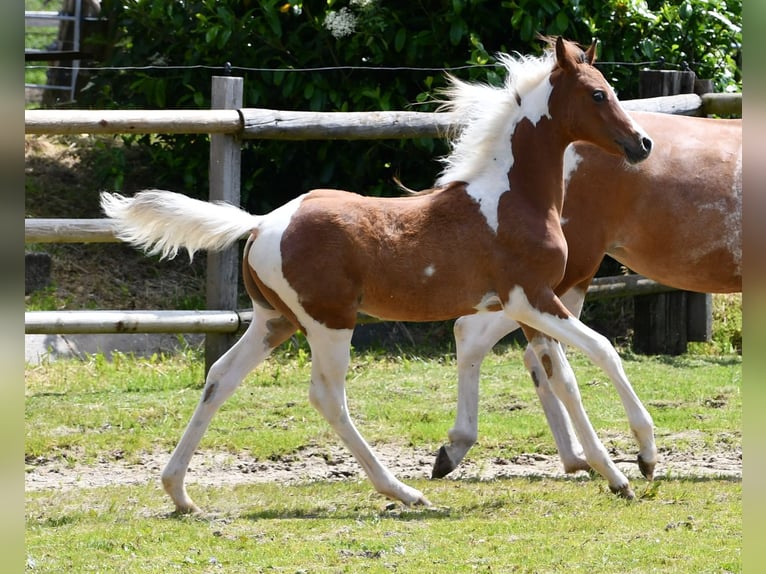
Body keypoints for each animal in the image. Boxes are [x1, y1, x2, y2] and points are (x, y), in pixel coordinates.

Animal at [100, 38, 656, 516]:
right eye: (598, 93)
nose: (643, 143)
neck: (513, 197)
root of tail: (259, 224)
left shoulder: (528, 308)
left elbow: (562, 379)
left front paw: (613, 475)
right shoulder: (532, 298)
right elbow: (603, 351)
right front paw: (643, 457)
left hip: (273, 321)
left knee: (220, 377)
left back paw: (179, 493)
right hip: (329, 322)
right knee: (327, 397)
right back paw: (402, 492)